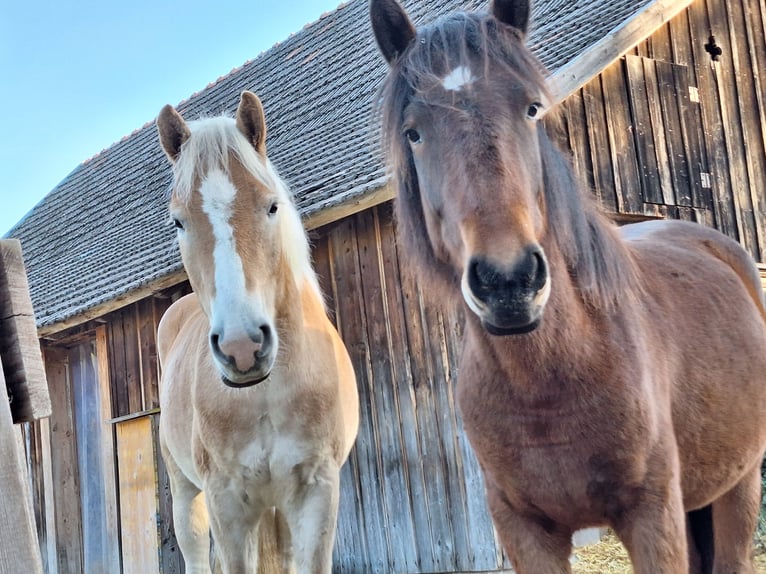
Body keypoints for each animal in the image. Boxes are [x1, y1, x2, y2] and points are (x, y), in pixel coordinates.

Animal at [370, 2, 766, 572]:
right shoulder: (524, 532)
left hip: (740, 483)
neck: (551, 383)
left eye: (531, 108)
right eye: (413, 133)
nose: (508, 282)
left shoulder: (653, 517)